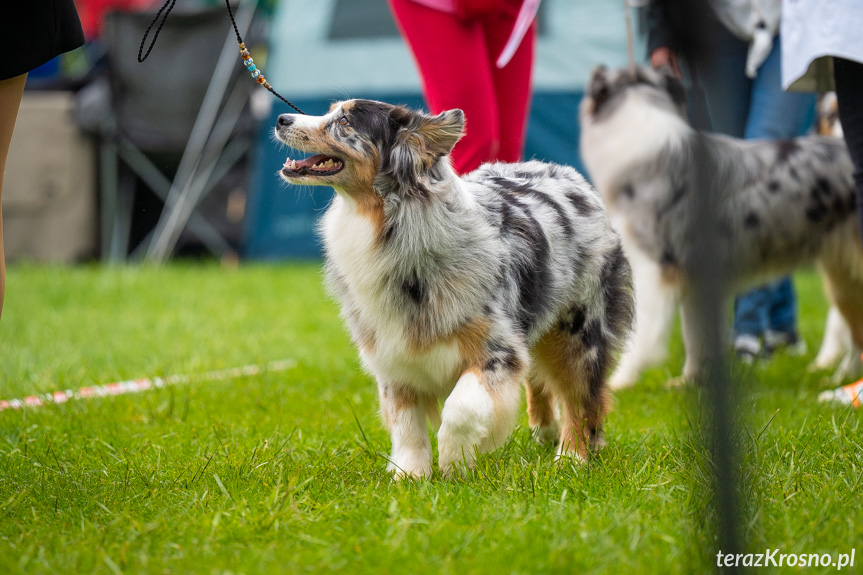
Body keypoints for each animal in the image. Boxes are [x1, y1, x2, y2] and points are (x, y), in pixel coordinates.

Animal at [276, 101, 636, 480]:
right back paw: (545, 431)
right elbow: (406, 423)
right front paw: (410, 475)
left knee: (581, 396)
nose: (282, 118)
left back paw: (571, 456)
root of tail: (567, 173)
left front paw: (454, 461)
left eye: (344, 120)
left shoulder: (496, 350)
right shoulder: (393, 353)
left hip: (578, 330)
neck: (388, 224)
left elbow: (461, 408)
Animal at [576, 66, 863, 392]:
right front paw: (690, 382)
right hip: (843, 280)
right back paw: (840, 379)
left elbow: (644, 334)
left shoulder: (656, 268)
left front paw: (620, 384)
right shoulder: (696, 277)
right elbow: (697, 336)